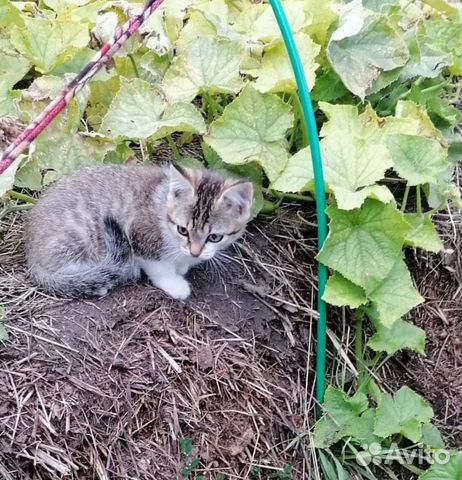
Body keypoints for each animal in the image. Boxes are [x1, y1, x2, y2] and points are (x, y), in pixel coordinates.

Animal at [24, 165, 253, 300]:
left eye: (215, 237)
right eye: (183, 230)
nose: (195, 252)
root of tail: (31, 253)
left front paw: (184, 265)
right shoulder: (139, 235)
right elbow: (159, 267)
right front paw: (176, 284)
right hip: (79, 237)